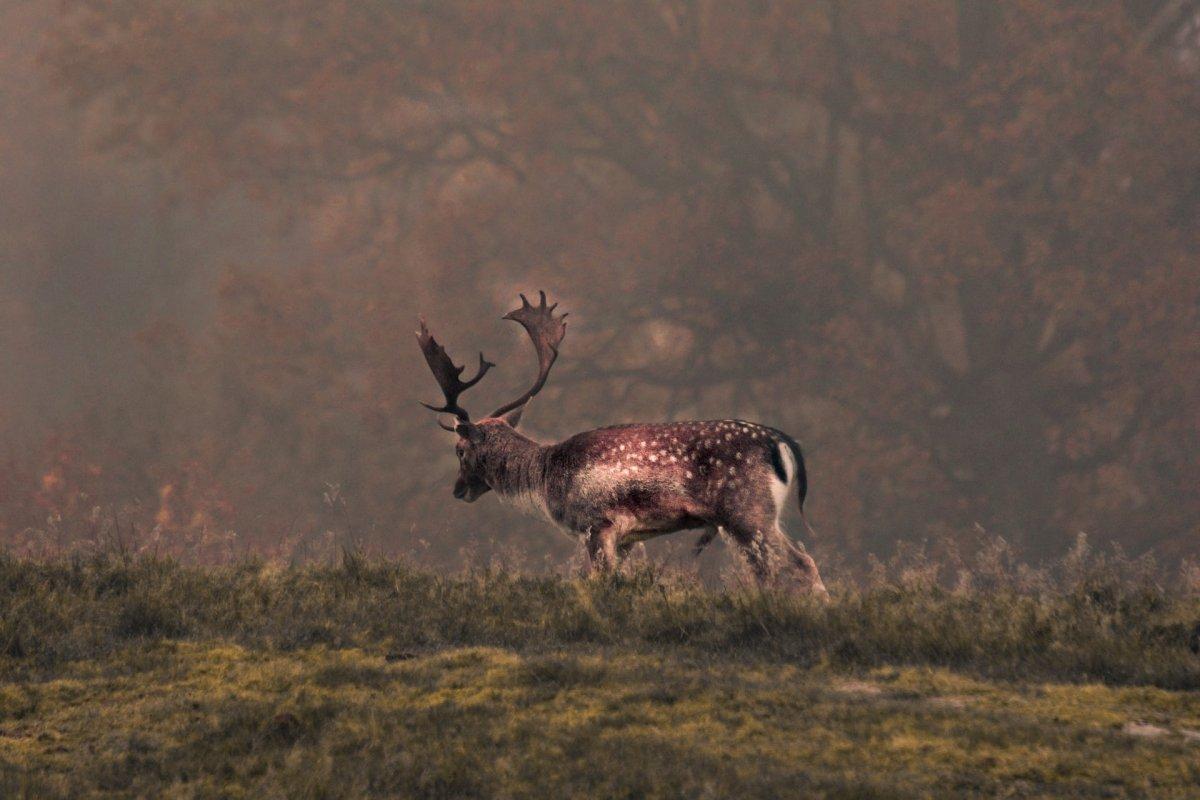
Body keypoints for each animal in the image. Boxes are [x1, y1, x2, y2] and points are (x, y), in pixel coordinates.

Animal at [420, 289, 825, 594]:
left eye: (460, 451)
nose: (458, 489)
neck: (545, 478)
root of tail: (782, 442)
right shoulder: (630, 537)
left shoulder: (596, 524)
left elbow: (601, 581)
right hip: (749, 518)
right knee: (784, 566)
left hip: (747, 510)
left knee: (795, 564)